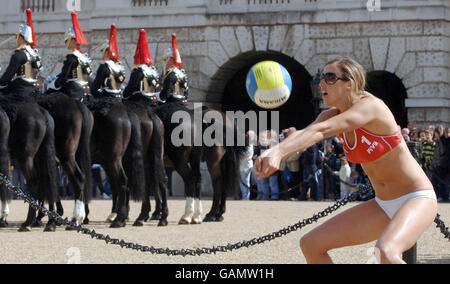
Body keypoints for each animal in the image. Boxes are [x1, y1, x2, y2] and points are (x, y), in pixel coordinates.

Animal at [0, 92, 59, 232]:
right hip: (41, 155)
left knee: (34, 181)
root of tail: (41, 111)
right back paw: (50, 222)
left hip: (25, 157)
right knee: (48, 180)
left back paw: (28, 222)